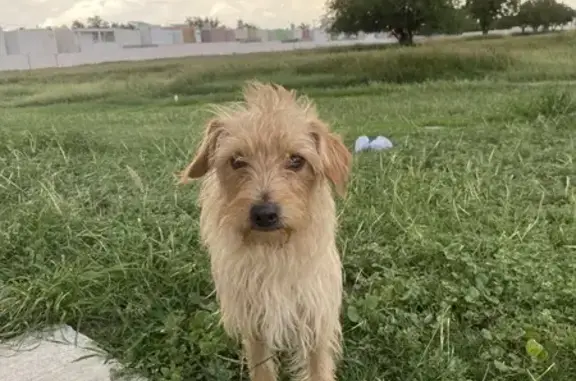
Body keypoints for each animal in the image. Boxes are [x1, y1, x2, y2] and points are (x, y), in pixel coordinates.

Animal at [180, 81, 352, 378]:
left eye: (296, 160)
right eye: (237, 160)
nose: (264, 214)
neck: (273, 251)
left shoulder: (316, 321)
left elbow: (317, 369)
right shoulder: (254, 325)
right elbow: (262, 370)